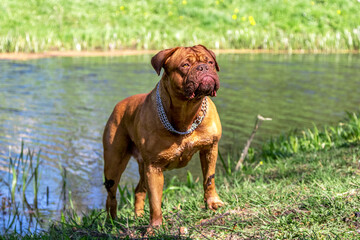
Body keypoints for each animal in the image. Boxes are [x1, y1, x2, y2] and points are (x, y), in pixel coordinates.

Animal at [102, 45, 224, 227]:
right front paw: (155, 226)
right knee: (111, 196)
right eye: (185, 65)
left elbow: (209, 178)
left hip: (141, 166)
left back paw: (138, 216)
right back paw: (112, 222)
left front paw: (212, 202)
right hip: (114, 164)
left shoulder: (210, 148)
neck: (187, 112)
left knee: (139, 190)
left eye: (209, 62)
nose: (203, 68)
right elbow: (155, 200)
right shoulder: (154, 167)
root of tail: (119, 105)